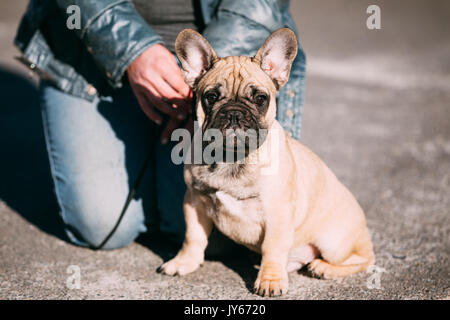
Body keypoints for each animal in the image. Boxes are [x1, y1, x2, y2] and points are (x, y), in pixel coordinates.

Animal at [160, 28, 374, 296]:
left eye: (260, 98)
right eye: (211, 96)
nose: (234, 113)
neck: (232, 156)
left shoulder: (277, 213)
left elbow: (272, 248)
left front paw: (270, 280)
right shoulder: (194, 201)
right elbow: (193, 237)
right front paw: (184, 262)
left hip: (334, 242)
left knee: (365, 259)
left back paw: (323, 268)